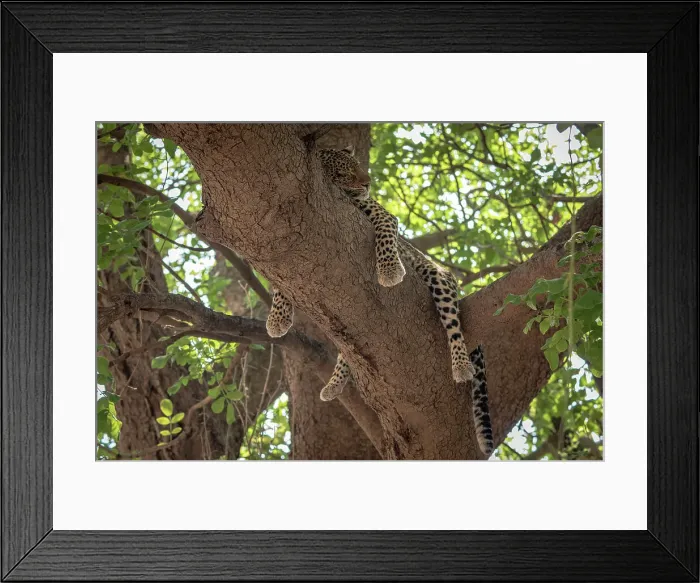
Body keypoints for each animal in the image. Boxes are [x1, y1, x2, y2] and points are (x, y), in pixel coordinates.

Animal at [265, 145, 494, 456]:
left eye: (359, 166)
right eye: (344, 172)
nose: (367, 183)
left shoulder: (384, 216)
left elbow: (385, 236)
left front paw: (389, 270)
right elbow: (280, 282)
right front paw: (277, 318)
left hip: (438, 279)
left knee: (453, 326)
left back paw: (460, 366)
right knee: (349, 348)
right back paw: (333, 385)